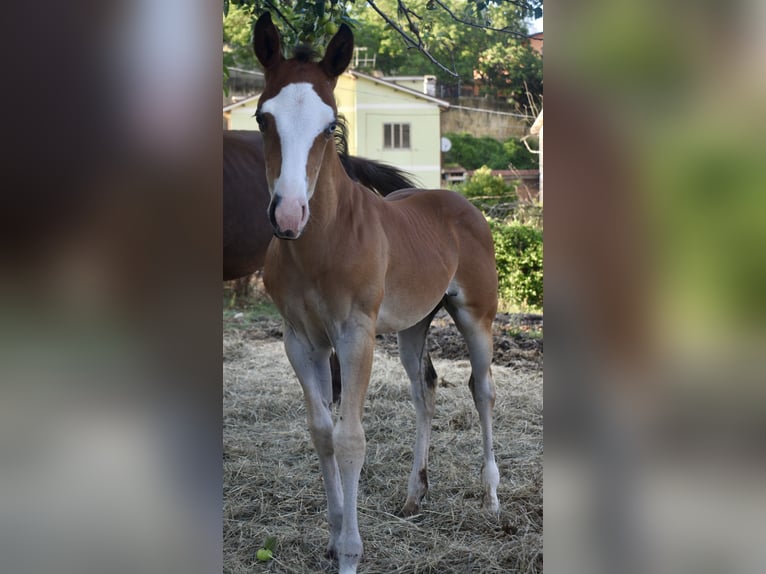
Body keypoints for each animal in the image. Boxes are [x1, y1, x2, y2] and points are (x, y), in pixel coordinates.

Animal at [255, 13, 500, 574]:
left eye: (329, 125)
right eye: (262, 119)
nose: (287, 215)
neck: (320, 243)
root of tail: (462, 202)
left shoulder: (355, 335)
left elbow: (350, 438)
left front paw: (350, 551)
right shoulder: (300, 341)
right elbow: (322, 432)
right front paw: (332, 535)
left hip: (477, 316)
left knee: (481, 389)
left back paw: (493, 498)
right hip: (413, 324)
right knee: (424, 388)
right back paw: (414, 496)